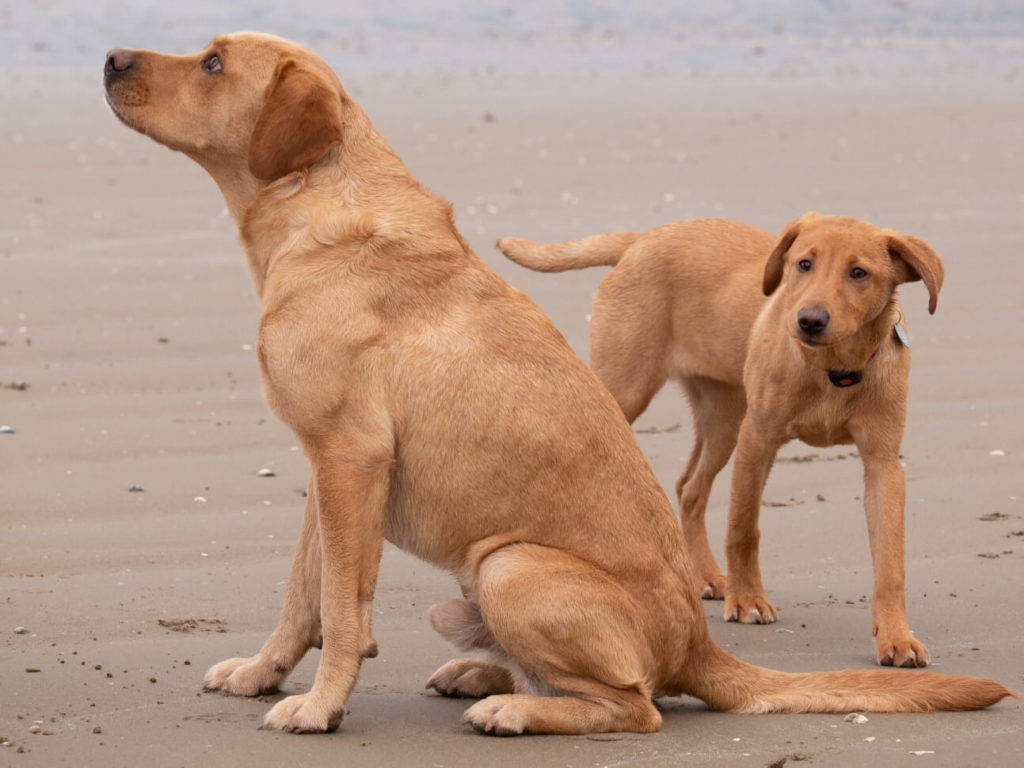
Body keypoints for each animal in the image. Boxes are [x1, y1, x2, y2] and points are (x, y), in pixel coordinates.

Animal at [105, 33, 1007, 737]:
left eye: (213, 62)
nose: (110, 57)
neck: (320, 208)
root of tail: (700, 644)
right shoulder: (329, 469)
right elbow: (307, 596)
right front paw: (265, 673)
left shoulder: (349, 459)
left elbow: (340, 608)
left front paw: (322, 707)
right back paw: (482, 675)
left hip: (511, 565)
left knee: (636, 706)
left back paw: (513, 708)